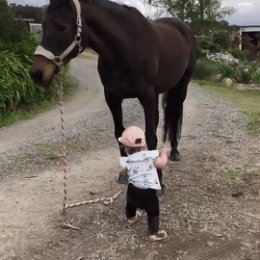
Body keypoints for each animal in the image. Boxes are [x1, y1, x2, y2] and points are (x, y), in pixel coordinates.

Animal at [30, 0, 196, 185]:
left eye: (61, 27)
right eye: (43, 25)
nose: (37, 73)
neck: (126, 49)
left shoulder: (146, 96)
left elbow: (151, 135)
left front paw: (157, 178)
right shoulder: (112, 97)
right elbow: (119, 133)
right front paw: (124, 173)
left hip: (181, 86)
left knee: (176, 114)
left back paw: (174, 151)